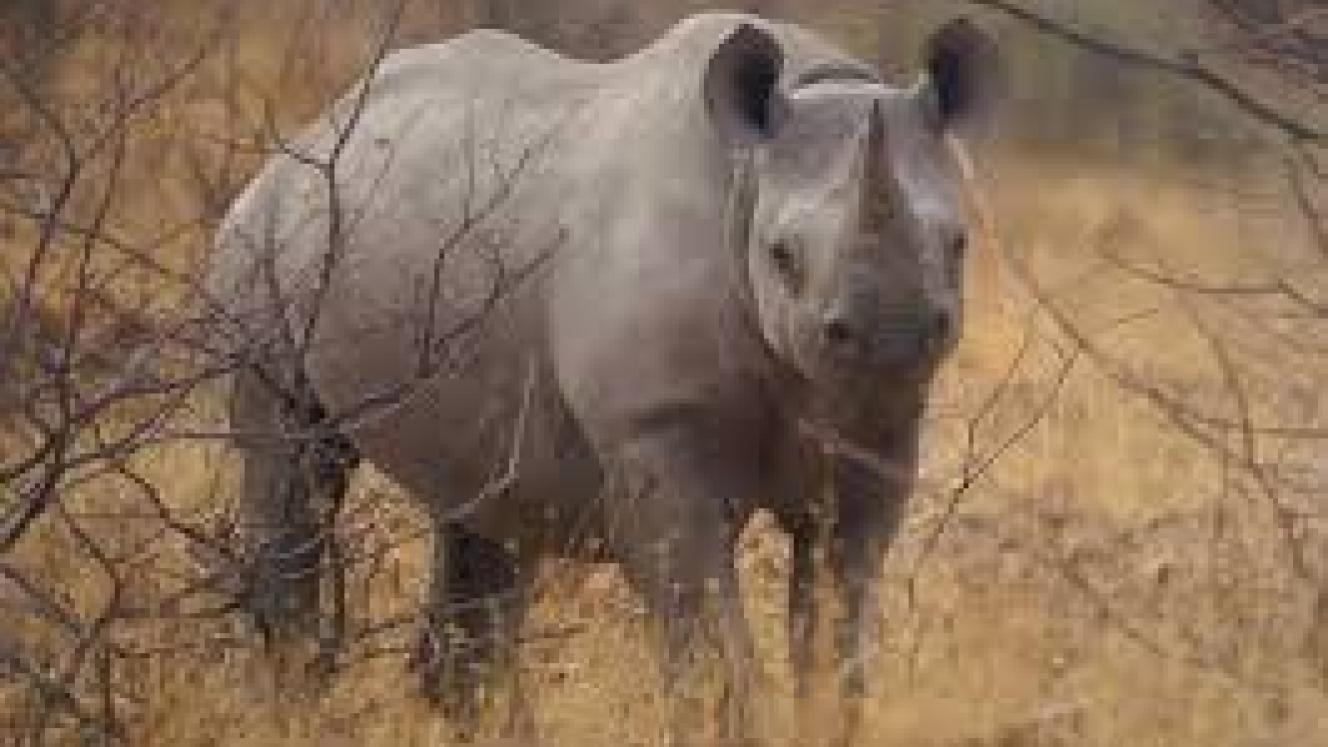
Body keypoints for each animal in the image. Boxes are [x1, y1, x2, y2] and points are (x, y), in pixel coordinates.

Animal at [207, 11, 999, 742]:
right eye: (781, 255)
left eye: (960, 243)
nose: (891, 336)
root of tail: (310, 132)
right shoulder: (655, 428)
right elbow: (708, 636)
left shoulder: (880, 440)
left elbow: (839, 629)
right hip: (263, 240)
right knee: (293, 461)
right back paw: (290, 701)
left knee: (484, 515)